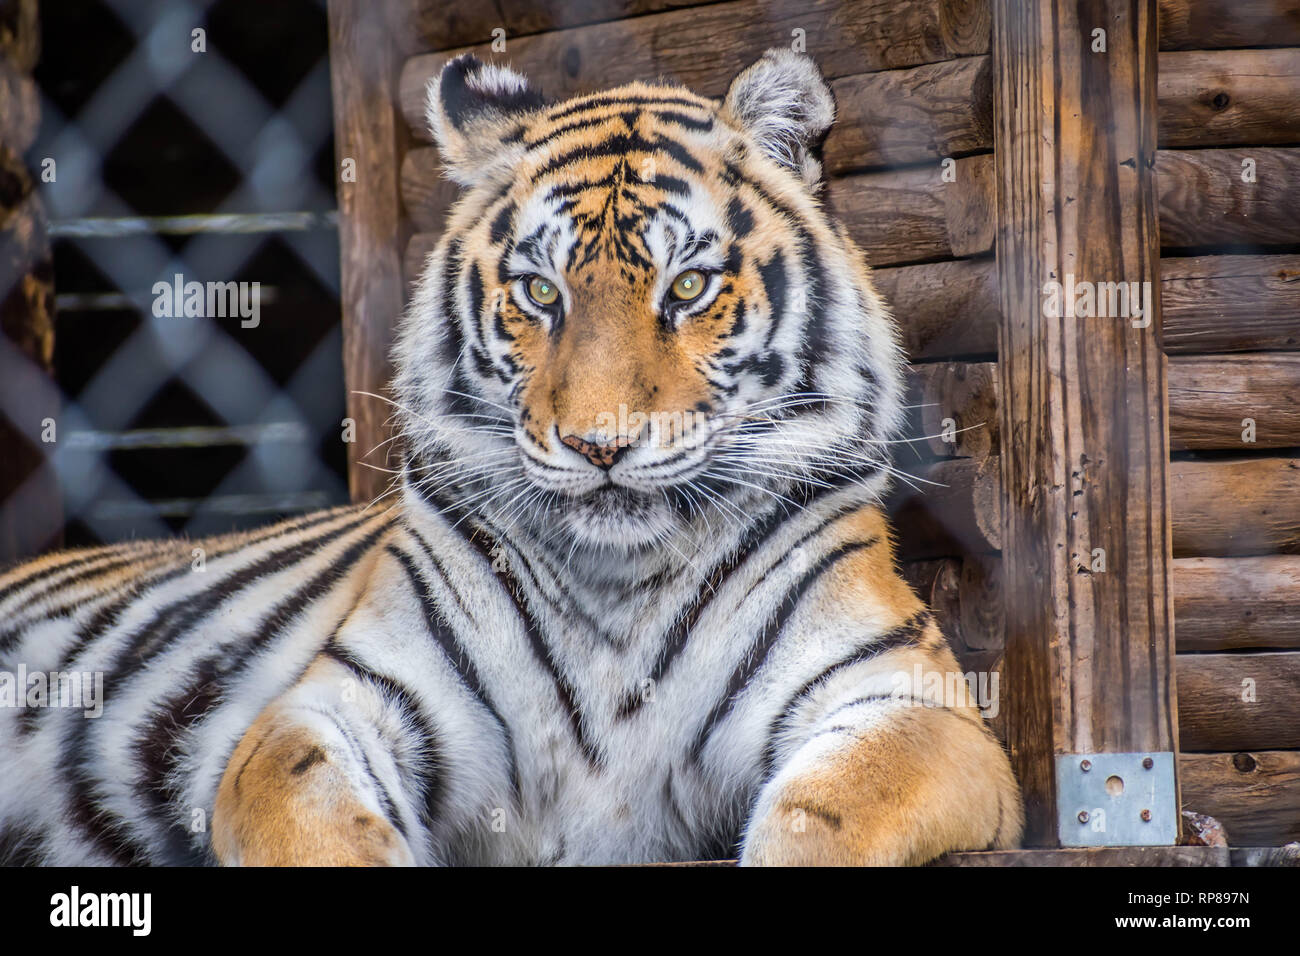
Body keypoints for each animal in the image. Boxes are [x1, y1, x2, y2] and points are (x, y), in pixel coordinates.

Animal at [2, 48, 1024, 868]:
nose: (599, 444)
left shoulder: (909, 701)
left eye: (688, 286)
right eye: (539, 293)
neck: (620, 591)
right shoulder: (334, 706)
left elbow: (828, 818)